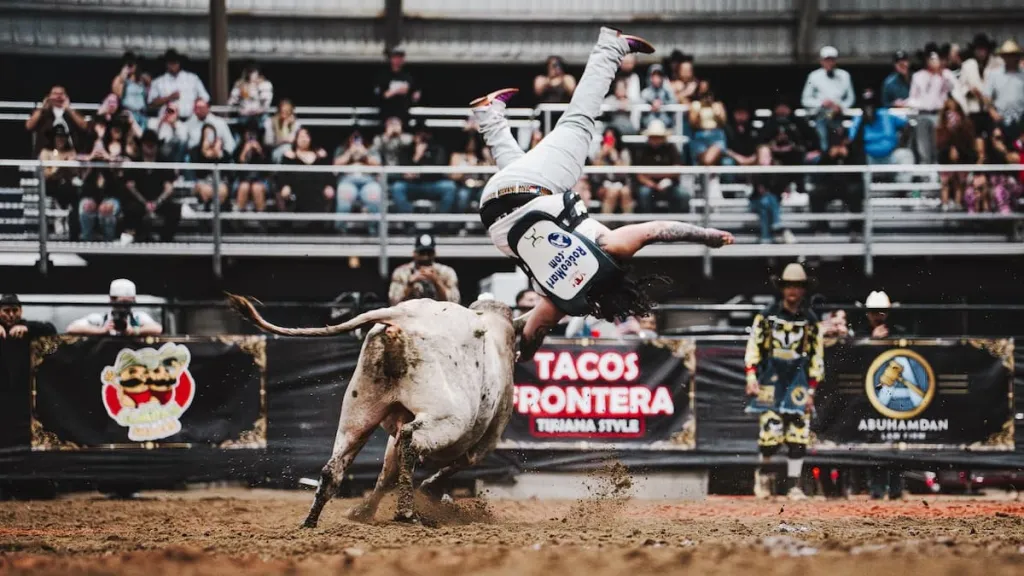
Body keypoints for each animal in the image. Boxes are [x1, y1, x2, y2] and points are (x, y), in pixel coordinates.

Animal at [227, 294, 530, 527]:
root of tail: (403, 315)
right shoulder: (484, 442)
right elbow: (456, 463)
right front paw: (428, 490)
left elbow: (388, 473)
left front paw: (363, 511)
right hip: (448, 419)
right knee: (410, 442)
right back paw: (407, 513)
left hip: (359, 412)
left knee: (334, 467)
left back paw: (311, 521)